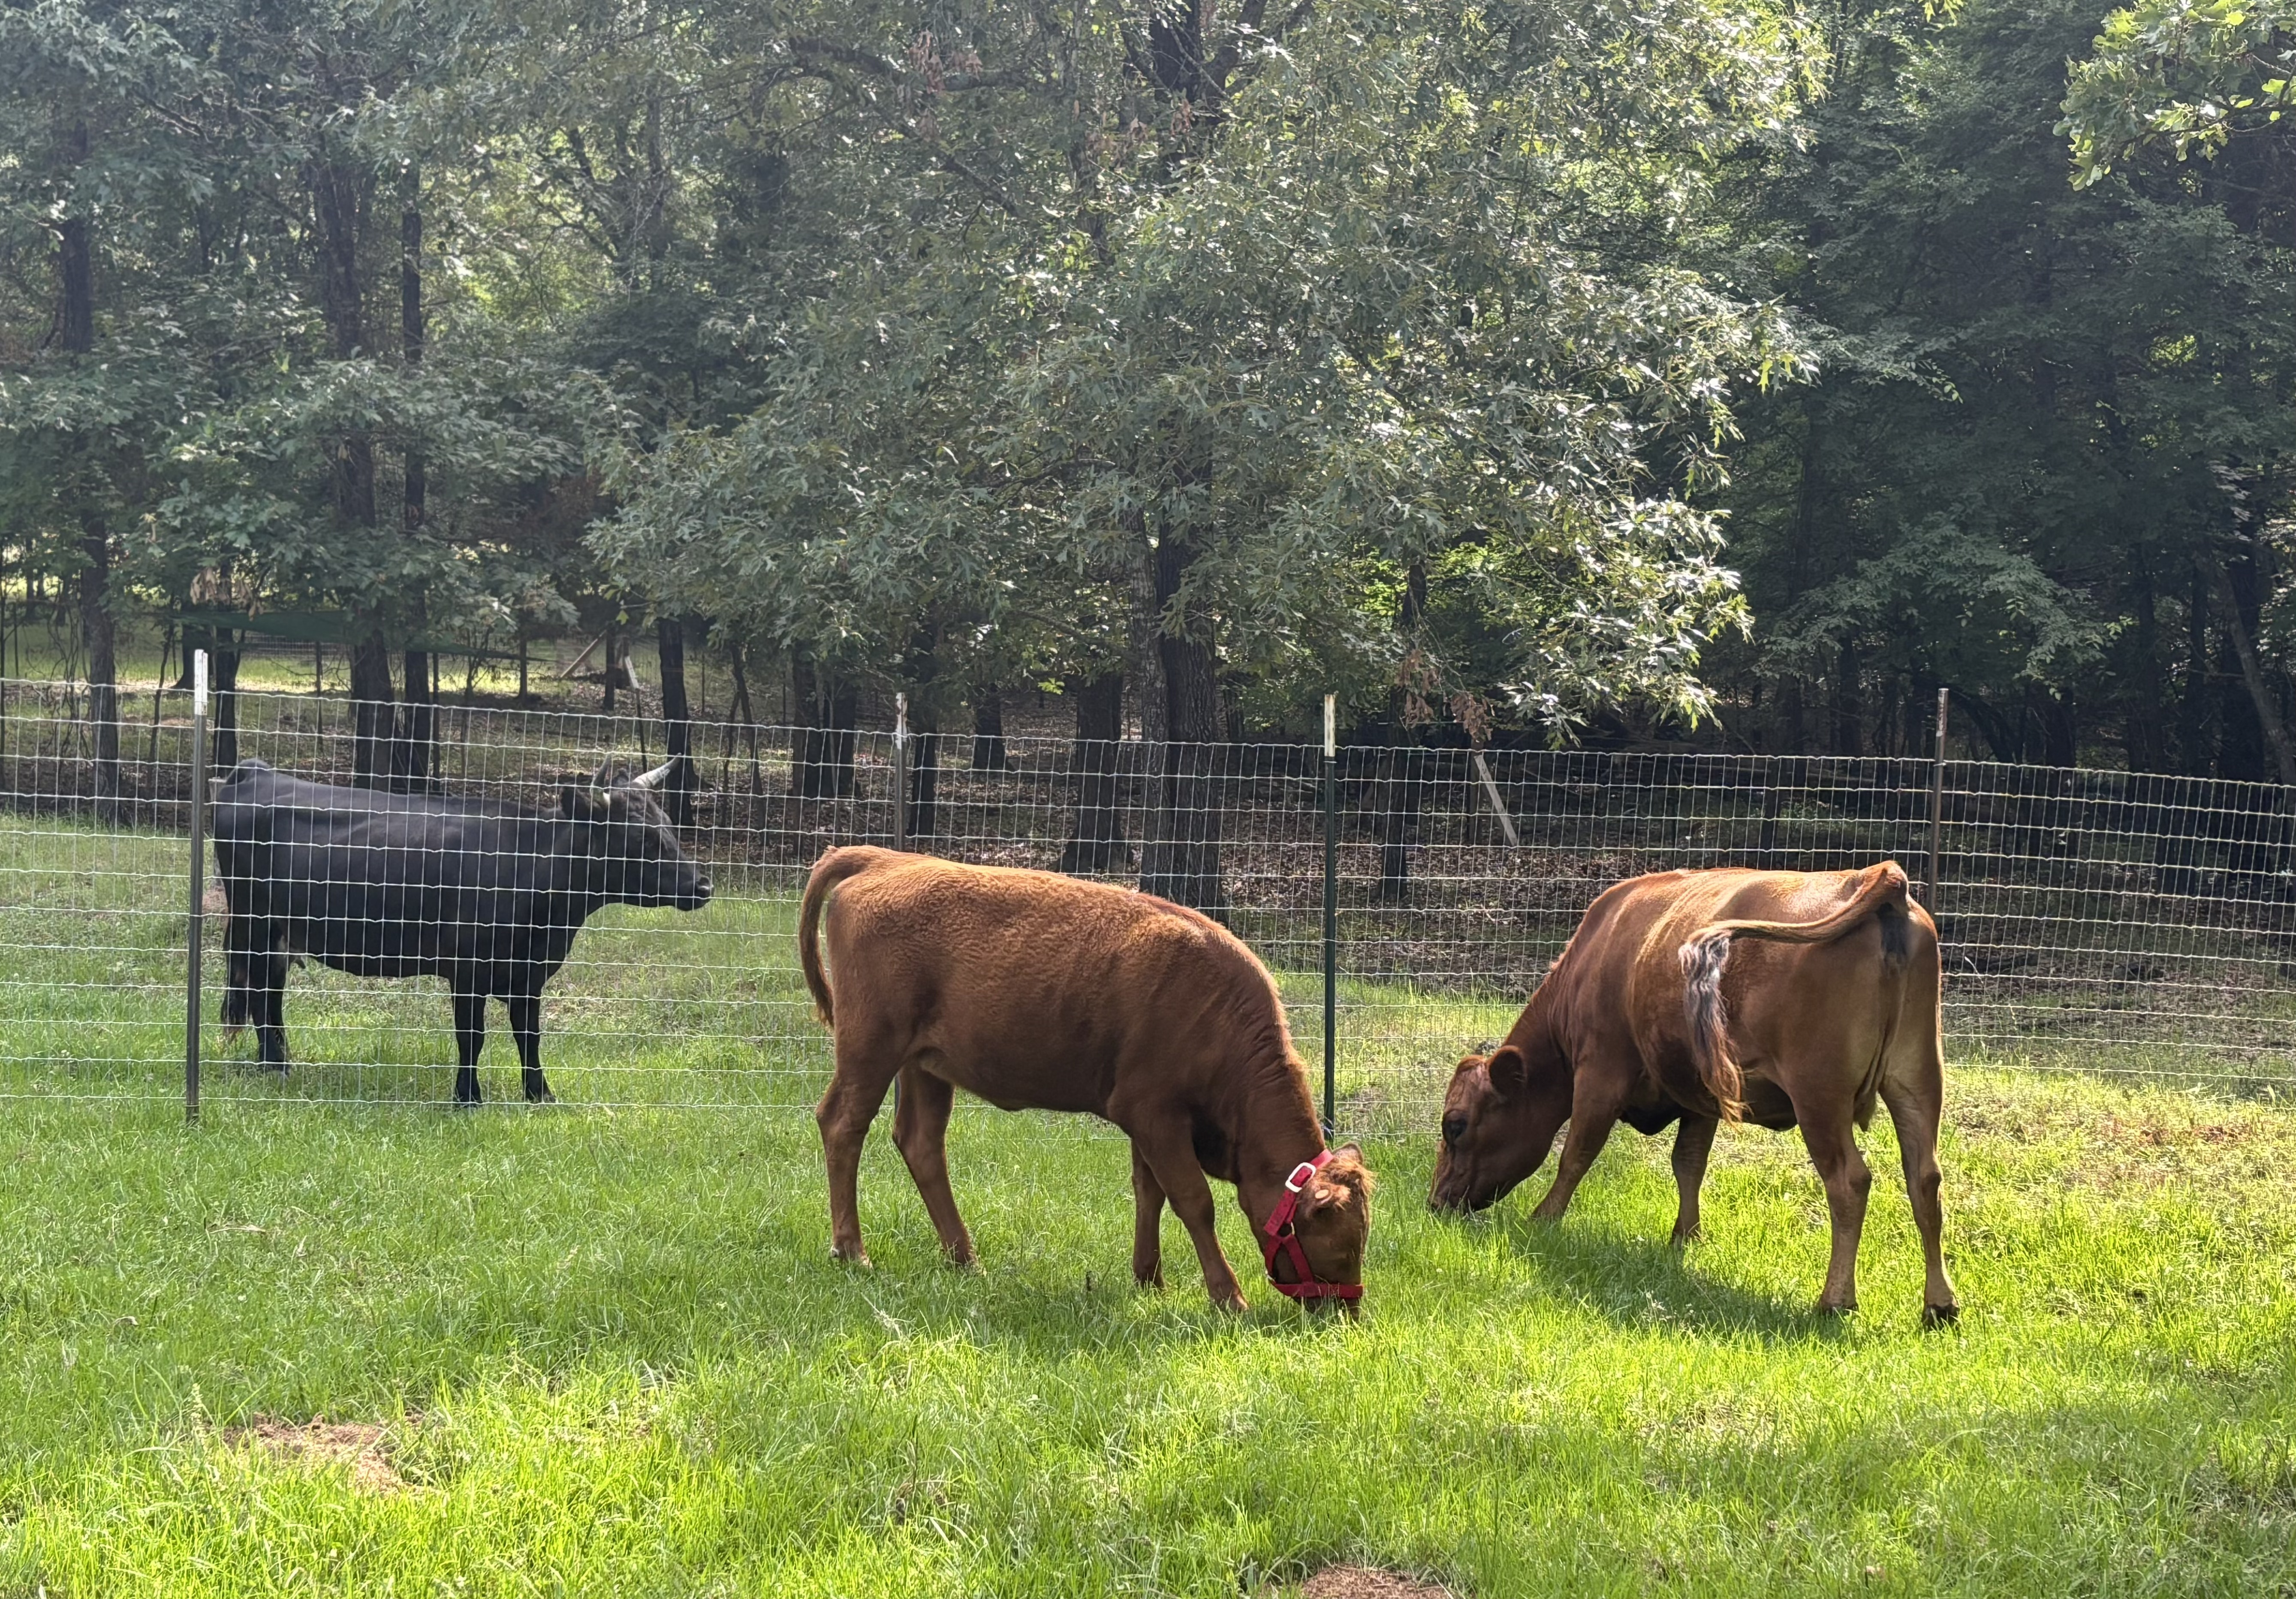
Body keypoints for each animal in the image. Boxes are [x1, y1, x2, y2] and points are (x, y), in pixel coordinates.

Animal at [211, 756, 712, 1104]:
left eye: (668, 825)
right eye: (640, 840)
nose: (703, 885)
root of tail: (255, 773)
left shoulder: (529, 974)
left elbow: (529, 1036)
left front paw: (540, 1095)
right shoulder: (467, 972)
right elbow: (472, 1037)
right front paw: (467, 1098)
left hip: (279, 931)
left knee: (270, 993)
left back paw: (279, 1062)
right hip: (254, 924)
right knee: (259, 992)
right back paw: (275, 1066)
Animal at [799, 846, 1374, 1312]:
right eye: (1344, 1243)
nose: (1345, 1310)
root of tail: (888, 859)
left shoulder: (1149, 1119)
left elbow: (1149, 1191)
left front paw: (1149, 1278)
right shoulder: (1154, 1114)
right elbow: (1193, 1200)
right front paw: (1228, 1296)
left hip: (926, 1064)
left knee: (920, 1143)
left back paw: (964, 1258)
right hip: (870, 1046)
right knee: (843, 1123)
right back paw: (852, 1250)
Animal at [1429, 862, 1958, 1323]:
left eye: (1455, 1126)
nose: (1435, 1203)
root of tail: (1877, 877)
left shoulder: (1601, 1069)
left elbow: (1577, 1151)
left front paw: (1543, 1218)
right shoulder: (1700, 1091)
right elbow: (1688, 1162)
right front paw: (1685, 1237)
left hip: (1819, 1094)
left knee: (1849, 1181)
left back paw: (1835, 1299)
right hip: (1917, 1078)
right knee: (1925, 1179)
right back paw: (1939, 1304)